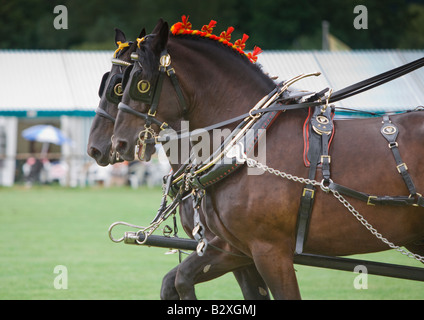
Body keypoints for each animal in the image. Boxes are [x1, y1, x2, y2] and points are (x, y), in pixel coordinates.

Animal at [112, 19, 424, 300]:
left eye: (140, 84)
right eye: (119, 84)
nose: (117, 143)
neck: (251, 142)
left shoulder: (270, 250)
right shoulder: (235, 248)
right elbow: (180, 279)